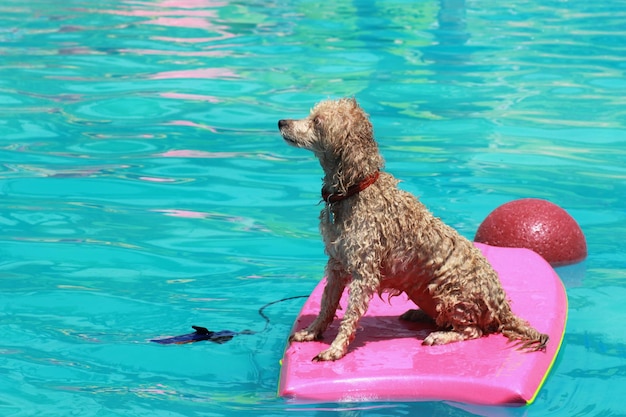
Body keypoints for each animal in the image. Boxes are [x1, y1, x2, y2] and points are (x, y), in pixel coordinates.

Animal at [278, 97, 544, 360]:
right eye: (312, 115)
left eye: (317, 121)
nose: (281, 122)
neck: (355, 189)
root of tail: (502, 306)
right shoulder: (336, 264)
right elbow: (327, 304)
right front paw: (312, 332)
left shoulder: (364, 272)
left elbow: (350, 315)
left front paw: (336, 348)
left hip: (451, 291)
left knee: (473, 330)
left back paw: (442, 336)